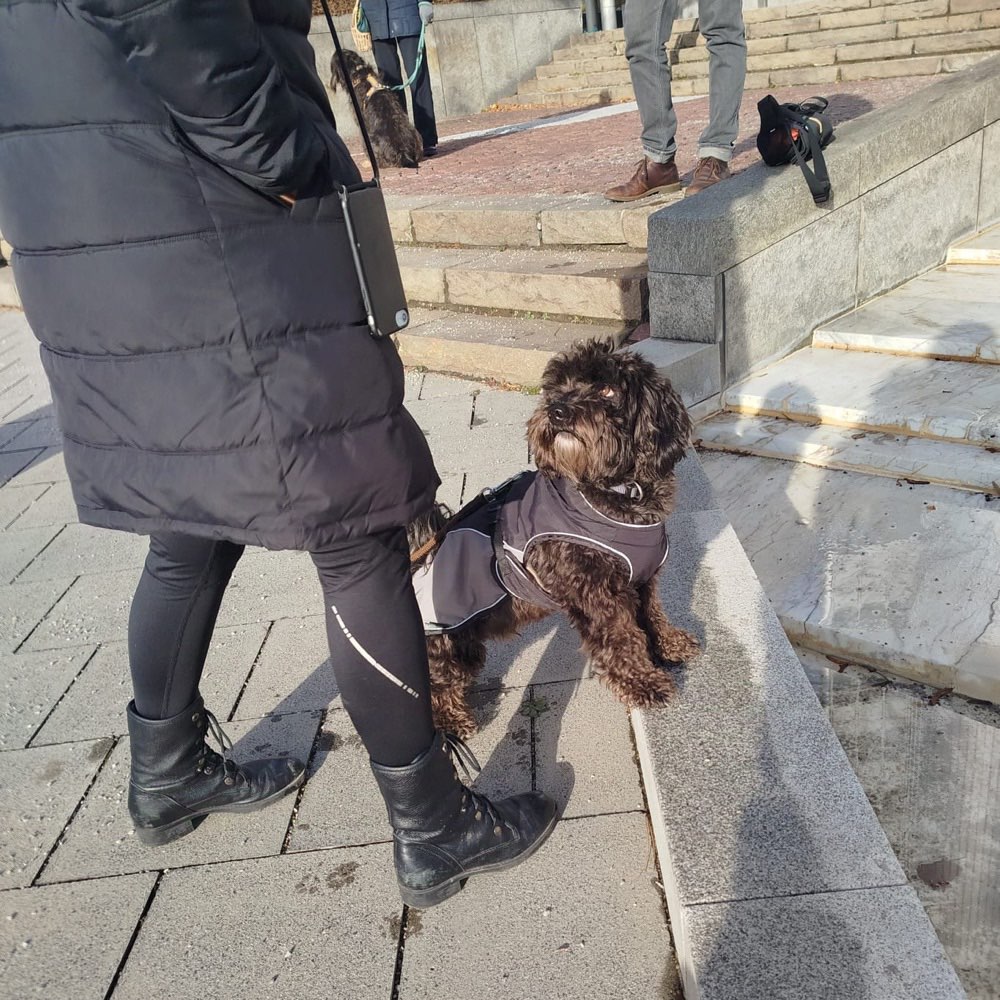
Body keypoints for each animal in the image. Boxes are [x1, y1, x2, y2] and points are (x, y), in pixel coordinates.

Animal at [410, 340, 700, 740]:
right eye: (557, 388)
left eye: (607, 390)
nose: (558, 411)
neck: (617, 494)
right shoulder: (597, 594)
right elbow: (623, 637)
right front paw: (643, 682)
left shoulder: (642, 578)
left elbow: (653, 614)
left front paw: (669, 645)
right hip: (449, 643)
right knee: (437, 686)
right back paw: (452, 721)